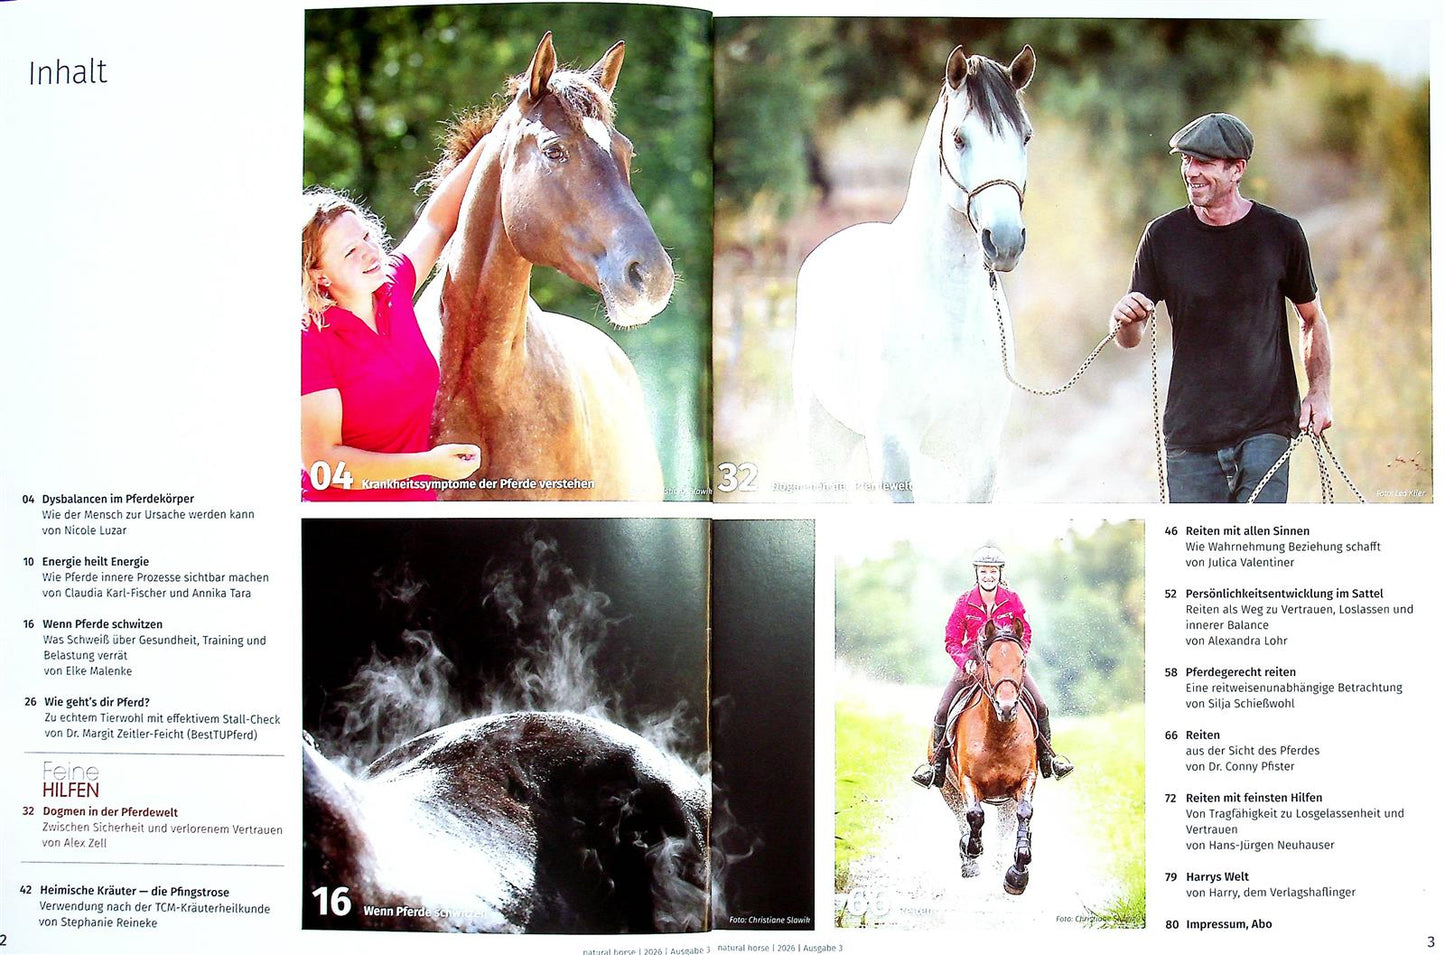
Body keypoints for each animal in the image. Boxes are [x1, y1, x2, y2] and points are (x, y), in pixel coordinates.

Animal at [792, 43, 1035, 502]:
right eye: (959, 138)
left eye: (1025, 137)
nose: (1005, 240)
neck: (948, 318)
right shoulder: (893, 450)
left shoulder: (979, 458)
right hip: (823, 439)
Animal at [938, 621, 1040, 894]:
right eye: (989, 662)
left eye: (1021, 661)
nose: (1006, 707)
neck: (999, 734)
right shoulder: (967, 781)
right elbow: (974, 815)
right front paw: (972, 849)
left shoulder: (1025, 780)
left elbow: (1025, 813)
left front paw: (1017, 873)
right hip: (948, 790)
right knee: (961, 817)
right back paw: (969, 861)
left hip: (1005, 802)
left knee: (1004, 827)